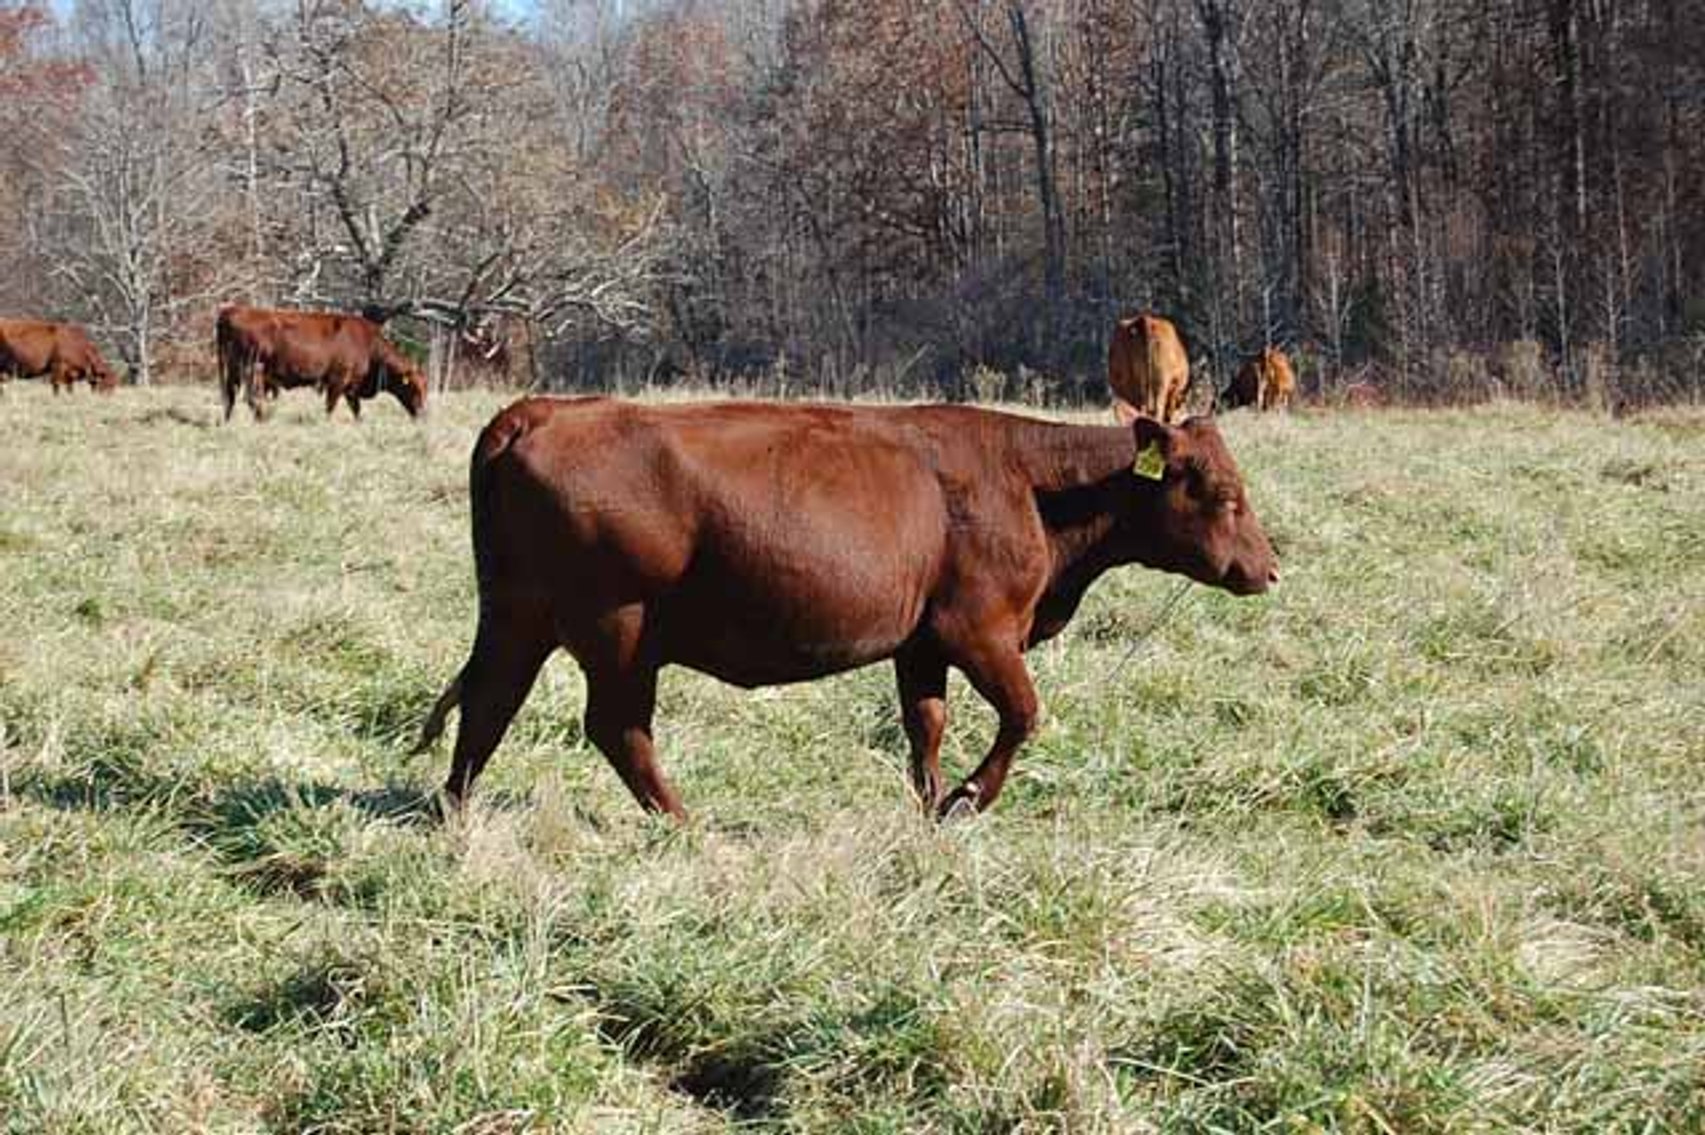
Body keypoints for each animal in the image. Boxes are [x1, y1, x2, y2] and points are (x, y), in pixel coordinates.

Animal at [215, 304, 427, 422]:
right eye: (413, 388)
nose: (422, 414)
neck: (369, 344)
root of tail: (232, 310)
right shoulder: (337, 380)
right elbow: (330, 406)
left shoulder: (351, 387)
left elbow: (356, 409)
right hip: (253, 371)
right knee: (253, 399)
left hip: (233, 372)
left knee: (230, 397)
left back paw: (227, 421)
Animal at [415, 398, 1280, 821]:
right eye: (1222, 491)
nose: (1269, 569)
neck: (1033, 485)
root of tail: (543, 410)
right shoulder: (981, 630)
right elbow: (1023, 715)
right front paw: (966, 800)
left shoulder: (921, 642)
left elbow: (926, 725)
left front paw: (930, 804)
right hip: (616, 630)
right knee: (615, 728)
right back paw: (683, 823)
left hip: (519, 616)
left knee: (489, 702)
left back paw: (455, 812)